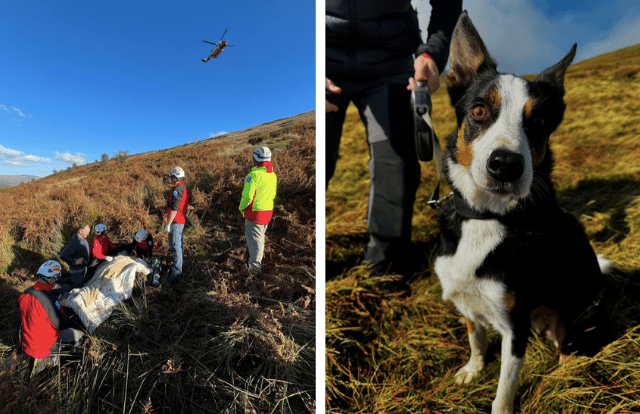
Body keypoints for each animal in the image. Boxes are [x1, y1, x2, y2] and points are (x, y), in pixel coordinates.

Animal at [432, 11, 612, 412]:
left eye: (539, 122)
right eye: (479, 110)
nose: (506, 165)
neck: (487, 217)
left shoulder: (515, 325)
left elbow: (504, 391)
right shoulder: (469, 303)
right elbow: (476, 339)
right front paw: (473, 369)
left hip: (573, 313)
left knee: (569, 350)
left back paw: (563, 379)